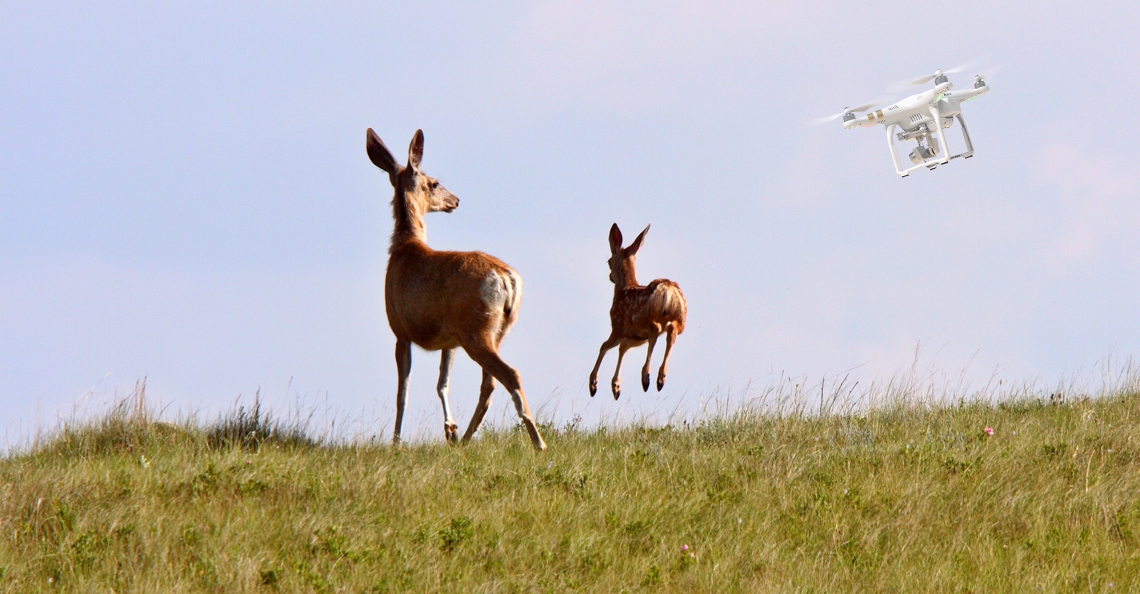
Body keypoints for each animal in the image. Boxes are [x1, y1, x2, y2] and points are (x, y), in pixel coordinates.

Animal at [362, 125, 544, 449]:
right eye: (435, 184)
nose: (456, 200)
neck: (403, 248)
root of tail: (507, 278)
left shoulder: (400, 330)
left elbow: (402, 392)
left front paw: (396, 440)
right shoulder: (449, 340)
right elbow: (442, 383)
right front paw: (450, 428)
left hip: (475, 330)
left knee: (509, 374)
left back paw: (538, 442)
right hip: (493, 330)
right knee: (489, 384)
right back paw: (467, 437)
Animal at [588, 222, 684, 399]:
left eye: (608, 261)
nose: (610, 276)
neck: (623, 289)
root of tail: (667, 289)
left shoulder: (618, 327)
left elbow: (604, 346)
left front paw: (594, 385)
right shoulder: (637, 337)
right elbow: (623, 347)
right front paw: (616, 387)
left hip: (643, 318)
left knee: (656, 329)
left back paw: (646, 377)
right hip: (680, 320)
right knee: (671, 333)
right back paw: (660, 378)